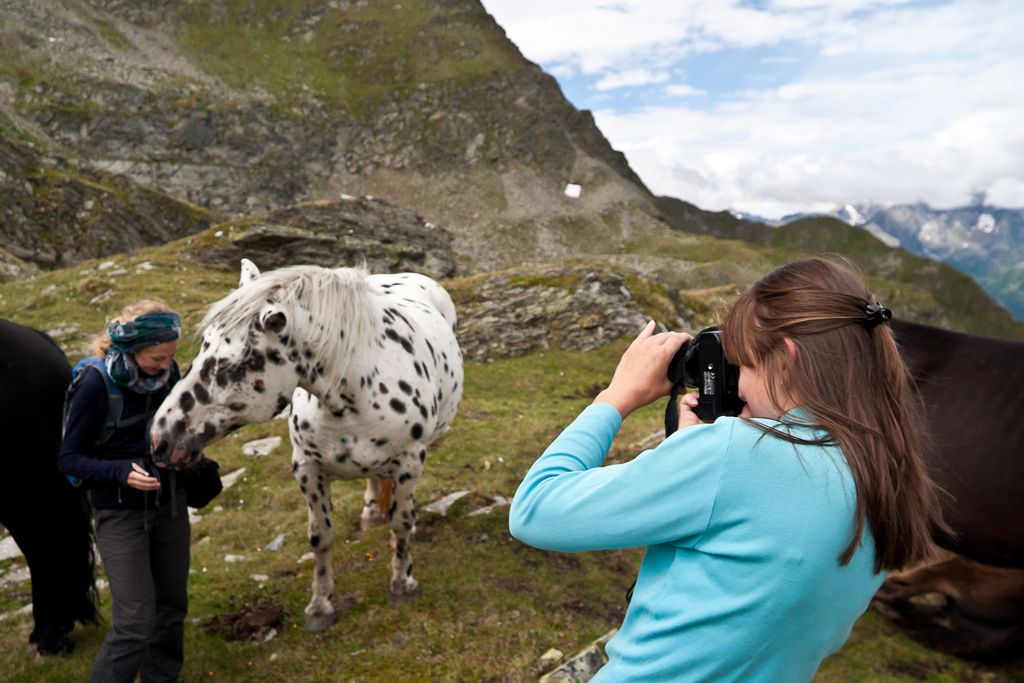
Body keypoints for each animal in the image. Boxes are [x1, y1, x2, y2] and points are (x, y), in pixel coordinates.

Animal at [150, 260, 464, 630]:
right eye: (202, 347)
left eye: (229, 365)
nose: (160, 439)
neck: (359, 392)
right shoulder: (308, 468)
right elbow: (320, 536)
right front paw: (320, 606)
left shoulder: (410, 463)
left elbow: (401, 522)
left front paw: (402, 583)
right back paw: (372, 512)